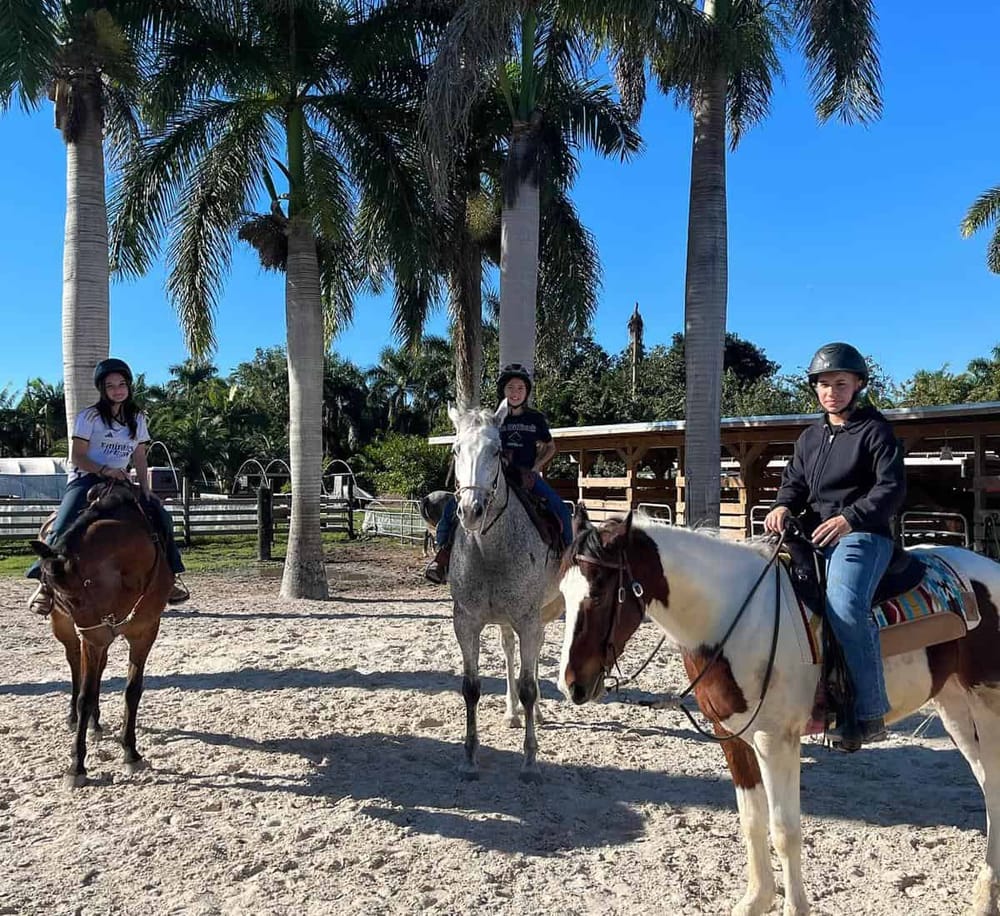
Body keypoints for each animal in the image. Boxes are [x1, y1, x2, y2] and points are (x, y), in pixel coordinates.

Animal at [30, 482, 174, 787]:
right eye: (64, 598)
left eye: (77, 596)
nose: (87, 629)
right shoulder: (92, 639)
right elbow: (85, 695)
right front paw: (76, 766)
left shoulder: (144, 632)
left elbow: (132, 691)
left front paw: (130, 753)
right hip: (67, 628)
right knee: (75, 665)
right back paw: (75, 718)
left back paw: (95, 724)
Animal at [446, 402, 565, 780]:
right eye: (456, 450)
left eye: (497, 451)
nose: (471, 511)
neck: (489, 550)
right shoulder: (466, 621)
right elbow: (471, 688)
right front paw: (469, 758)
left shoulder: (528, 618)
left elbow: (529, 685)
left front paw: (530, 760)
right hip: (504, 620)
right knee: (511, 652)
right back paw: (513, 713)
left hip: (538, 615)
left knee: (534, 655)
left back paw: (536, 712)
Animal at [558, 509, 1000, 916]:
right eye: (562, 591)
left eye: (599, 592)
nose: (571, 684)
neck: (733, 615)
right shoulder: (732, 736)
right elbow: (751, 820)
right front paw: (755, 900)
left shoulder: (775, 740)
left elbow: (784, 829)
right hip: (954, 709)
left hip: (986, 707)